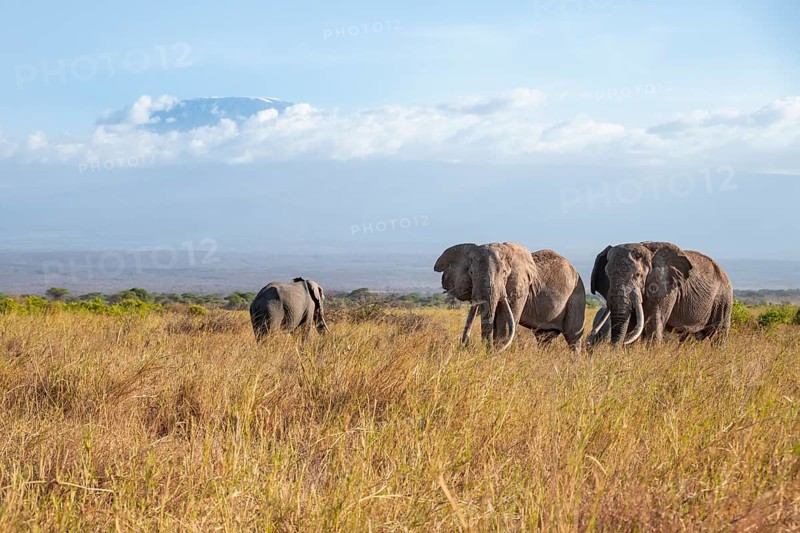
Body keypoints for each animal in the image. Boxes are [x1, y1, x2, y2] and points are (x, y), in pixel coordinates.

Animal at [434, 243, 586, 352]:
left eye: (504, 273)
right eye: (471, 273)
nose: (466, 345)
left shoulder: (519, 289)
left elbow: (504, 322)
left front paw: (498, 353)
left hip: (577, 294)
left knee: (573, 337)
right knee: (544, 338)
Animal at [590, 242, 733, 346]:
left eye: (638, 275)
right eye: (607, 275)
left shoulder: (665, 287)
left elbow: (654, 324)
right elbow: (632, 323)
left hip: (723, 299)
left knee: (719, 334)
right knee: (686, 336)